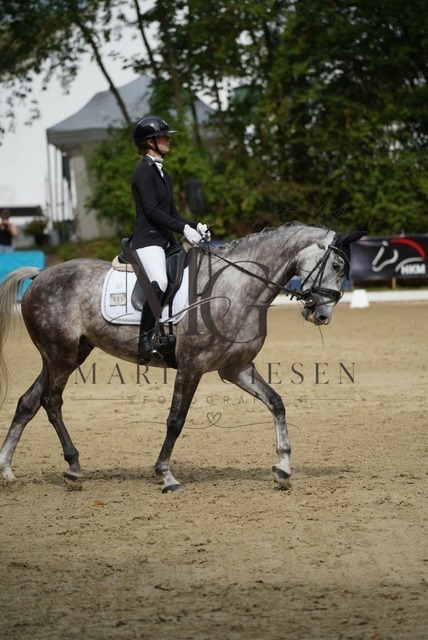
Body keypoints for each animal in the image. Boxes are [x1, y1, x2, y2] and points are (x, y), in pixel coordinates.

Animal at [0, 222, 364, 493]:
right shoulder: (192, 365)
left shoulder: (236, 368)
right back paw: (73, 466)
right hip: (60, 354)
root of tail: (40, 275)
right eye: (336, 265)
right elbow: (176, 419)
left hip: (69, 354)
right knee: (51, 401)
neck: (236, 287)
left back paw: (7, 470)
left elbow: (276, 403)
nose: (322, 315)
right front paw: (166, 474)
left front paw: (283, 467)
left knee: (29, 402)